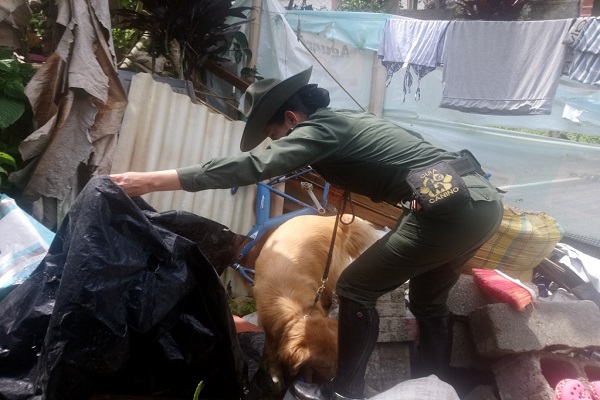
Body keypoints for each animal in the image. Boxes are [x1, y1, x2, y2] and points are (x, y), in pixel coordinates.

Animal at [252, 214, 379, 388]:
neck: (298, 312)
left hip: (331, 275)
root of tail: (330, 219)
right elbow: (270, 349)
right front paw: (276, 373)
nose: (333, 381)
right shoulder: (268, 327)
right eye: (325, 365)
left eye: (338, 359)